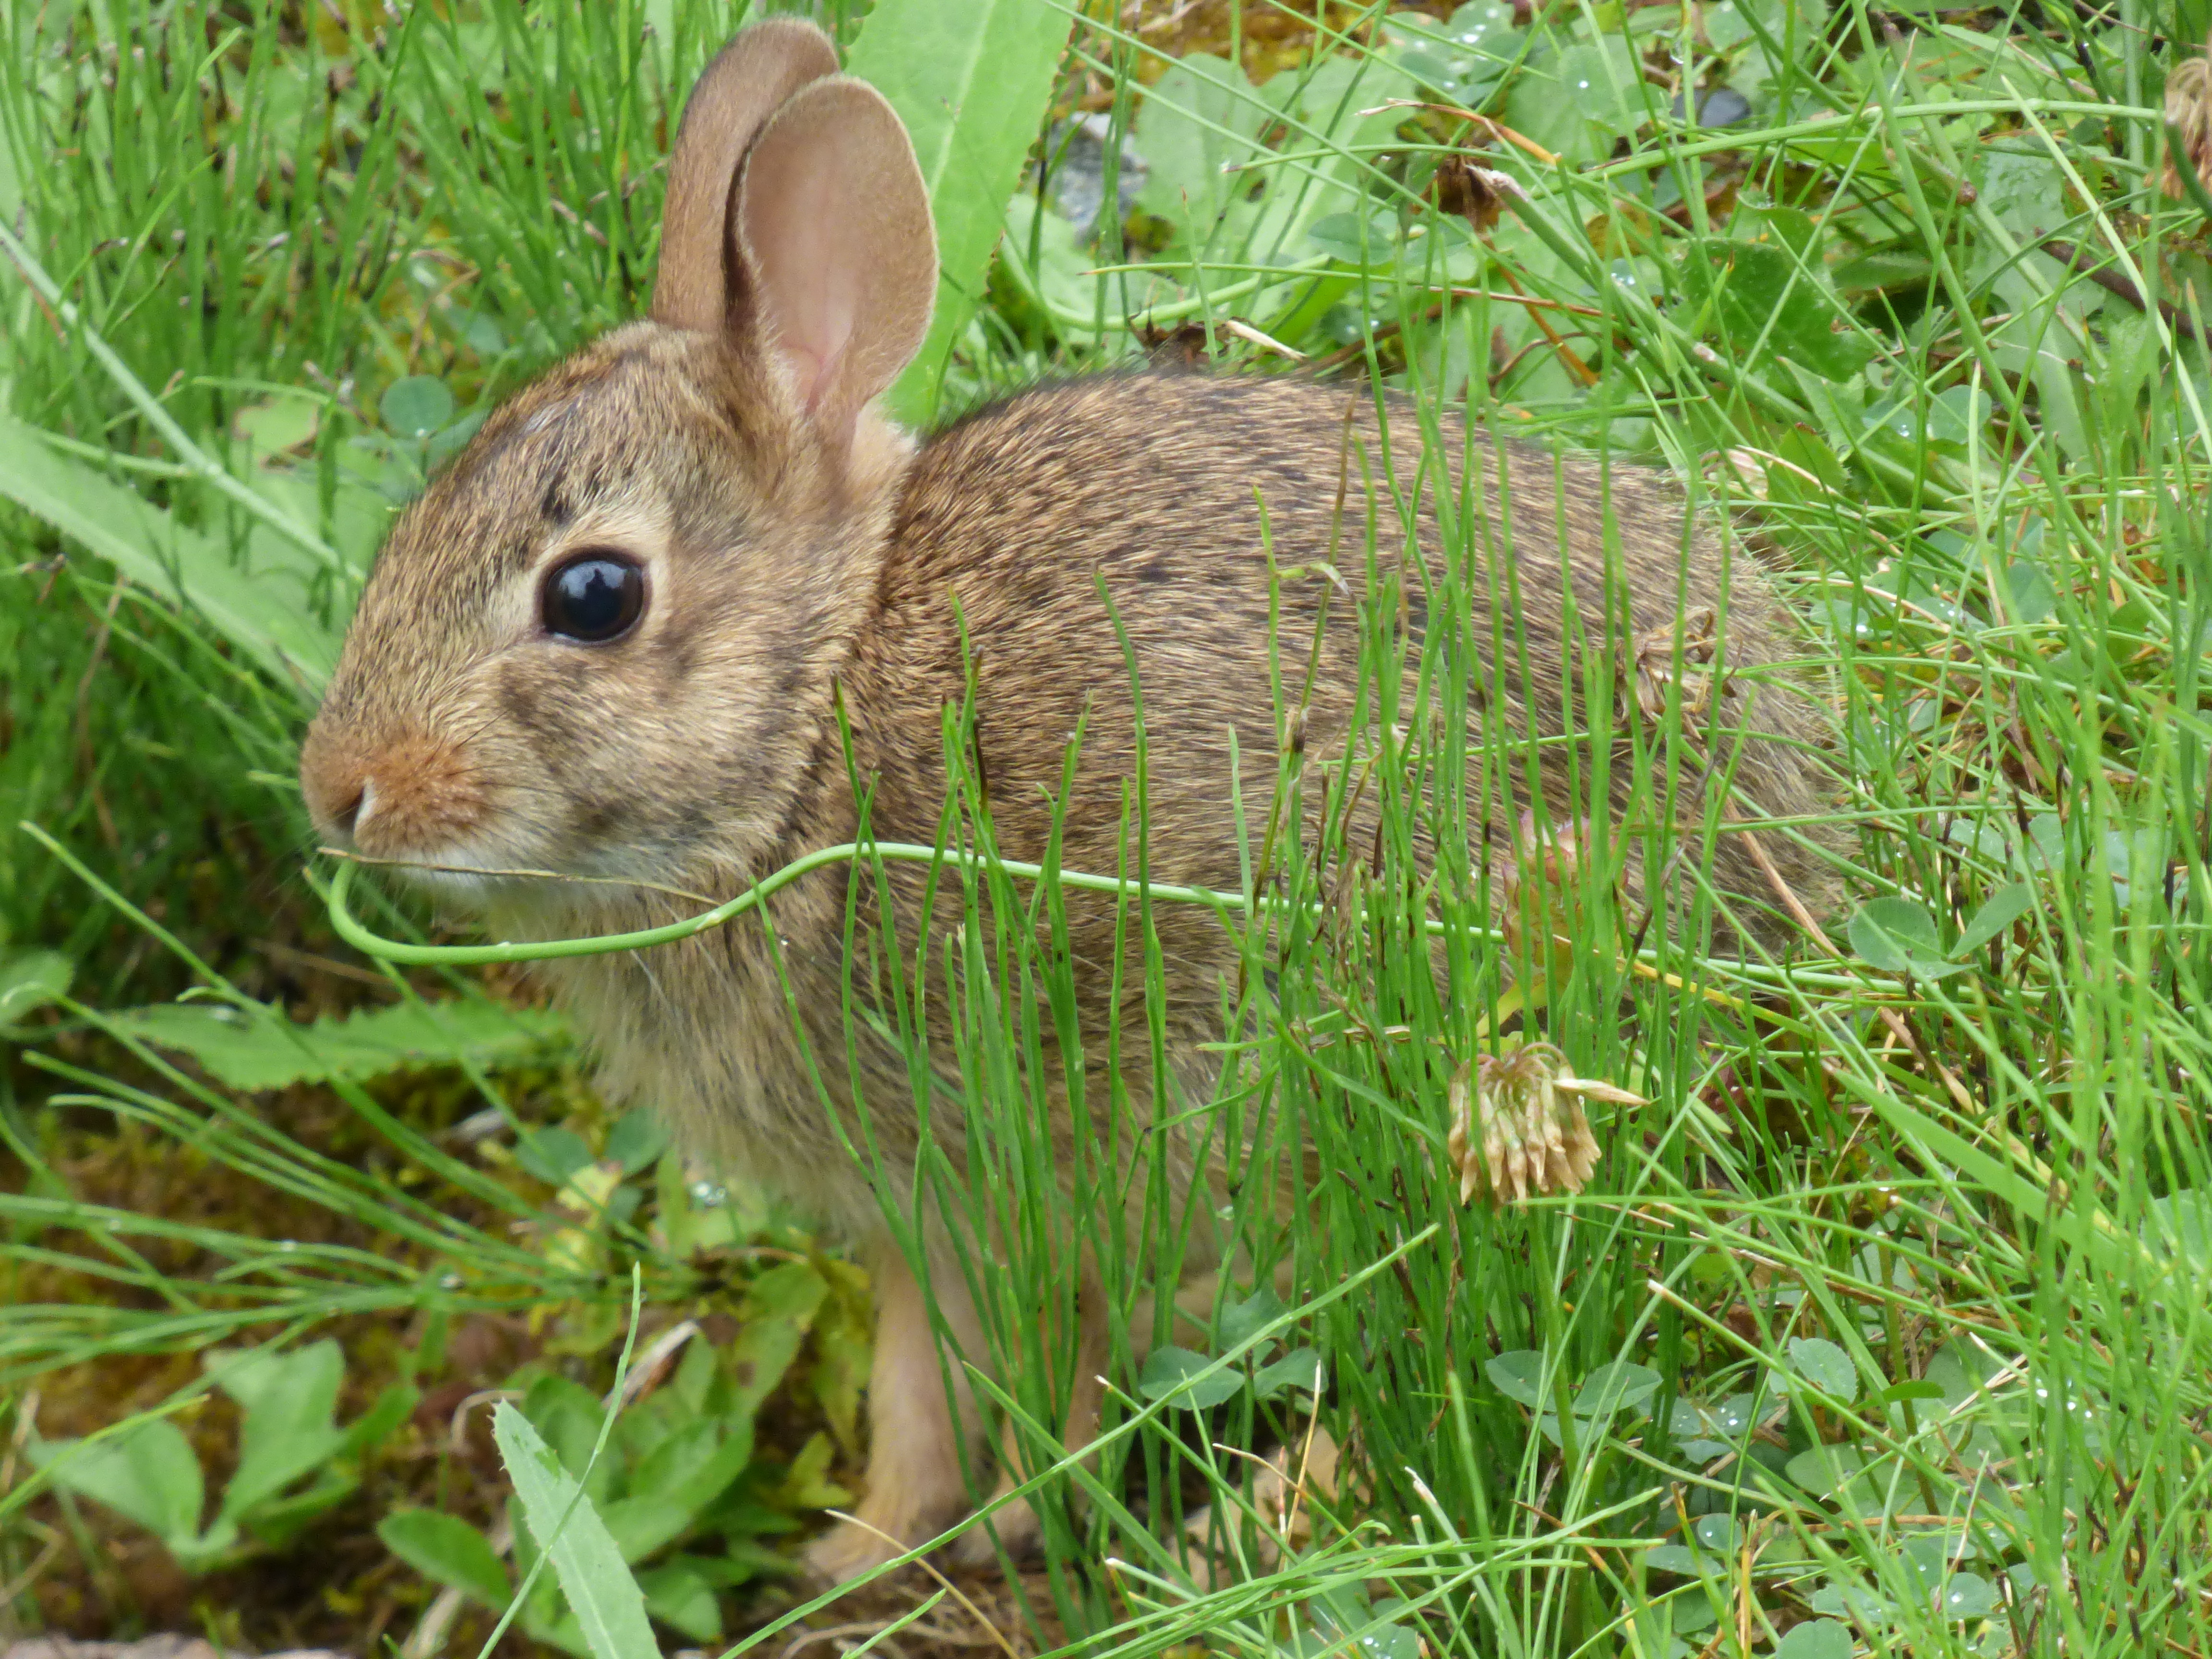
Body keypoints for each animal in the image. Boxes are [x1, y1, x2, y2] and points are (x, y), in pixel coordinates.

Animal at [298, 17, 1844, 1584]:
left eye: (595, 596)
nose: (340, 791)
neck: (810, 726)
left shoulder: (1040, 1151)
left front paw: (994, 1525)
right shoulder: (920, 1217)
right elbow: (916, 1375)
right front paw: (864, 1548)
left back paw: (1246, 1529)